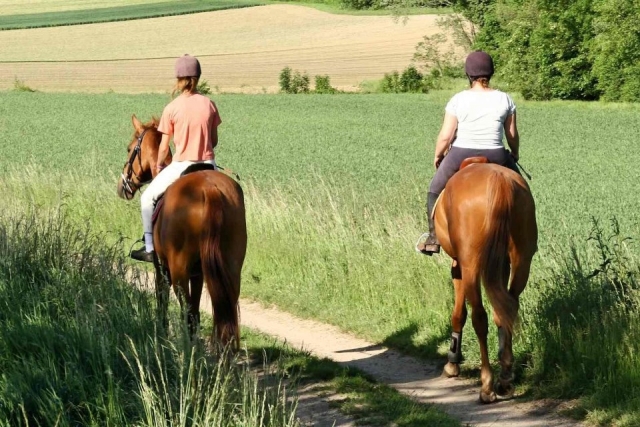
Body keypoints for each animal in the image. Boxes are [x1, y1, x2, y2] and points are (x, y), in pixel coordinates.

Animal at [117, 115, 247, 349]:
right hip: (231, 266)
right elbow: (196, 311)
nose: (122, 187)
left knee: (187, 312)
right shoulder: (199, 274)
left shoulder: (162, 269)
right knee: (224, 309)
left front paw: (161, 335)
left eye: (130, 149)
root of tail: (210, 190)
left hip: (179, 270)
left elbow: (163, 302)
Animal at [433, 157, 537, 403]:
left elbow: (459, 314)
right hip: (521, 259)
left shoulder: (458, 266)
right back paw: (505, 379)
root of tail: (499, 181)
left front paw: (452, 362)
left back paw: (487, 386)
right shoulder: (501, 265)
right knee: (508, 309)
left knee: (480, 318)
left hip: (471, 264)